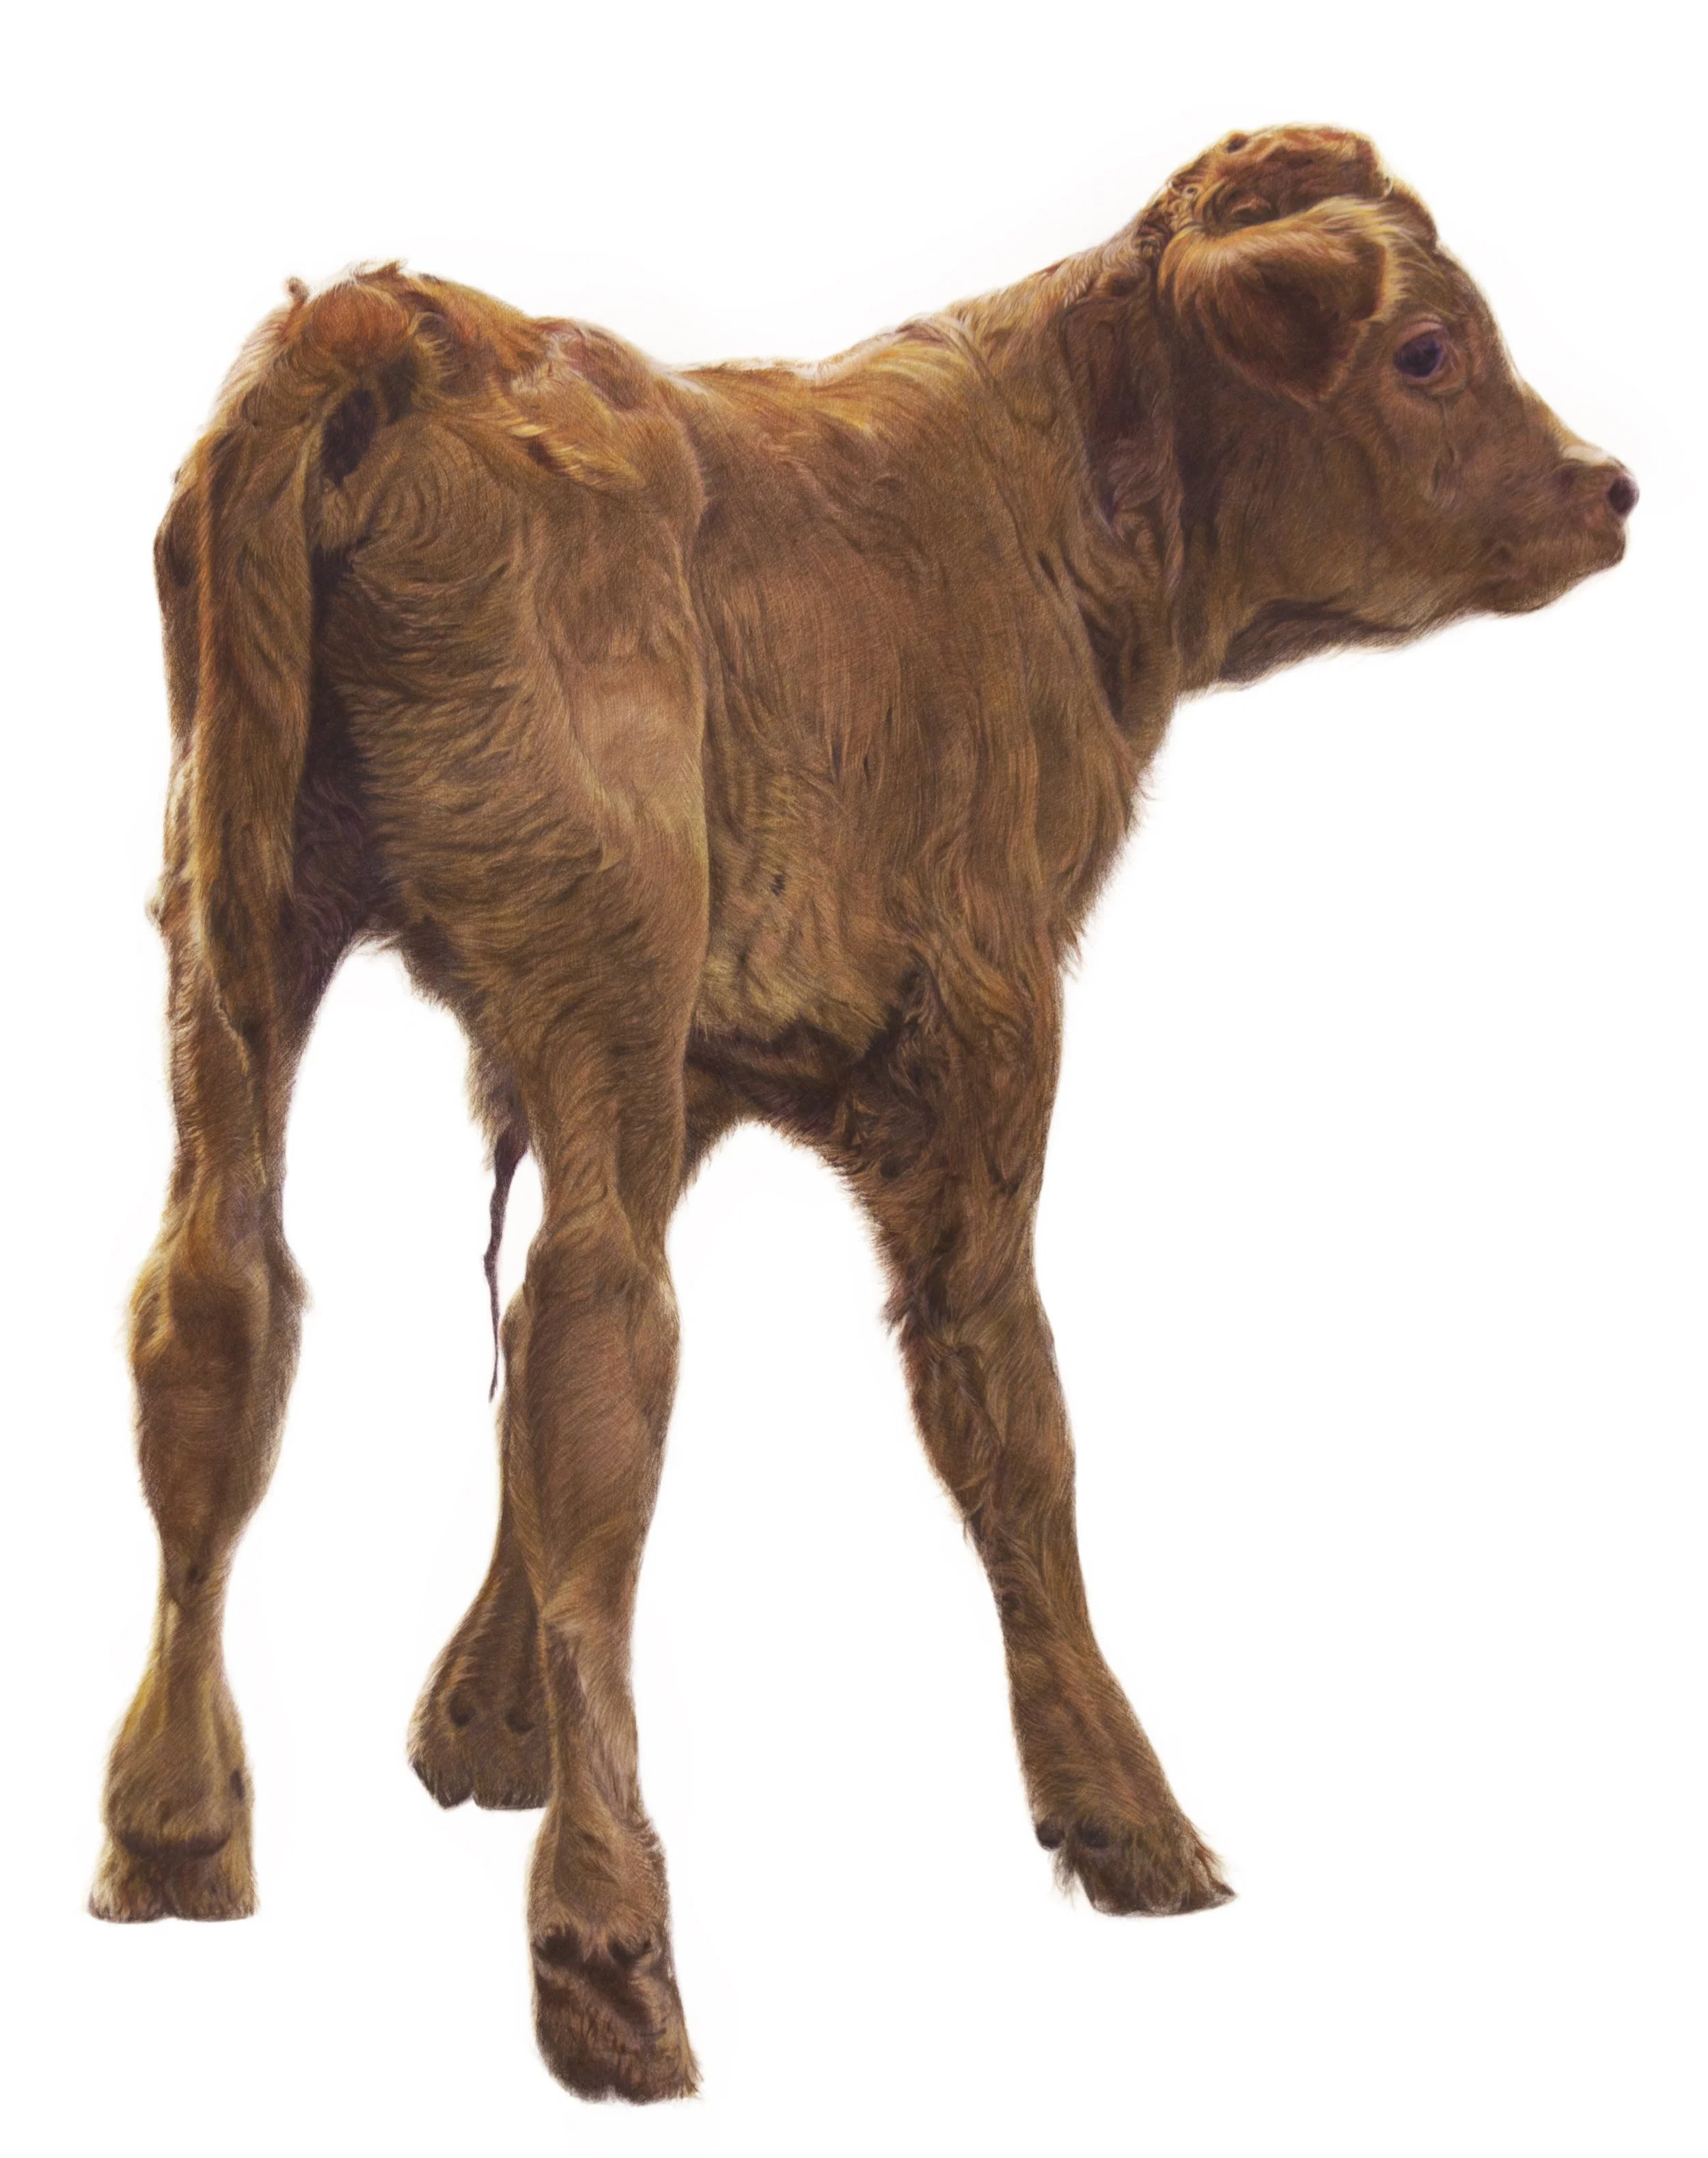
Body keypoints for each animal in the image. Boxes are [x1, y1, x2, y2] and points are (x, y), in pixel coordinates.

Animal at [90, 125, 1635, 2101]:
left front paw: (480, 1722)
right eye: (1426, 350)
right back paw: (610, 1951)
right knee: (596, 1338)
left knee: (222, 1304)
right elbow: (1007, 1410)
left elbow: (528, 1456)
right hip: (587, 960)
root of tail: (405, 318)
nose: (1606, 488)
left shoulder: (683, 1069)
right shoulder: (980, 1038)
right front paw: (1126, 1818)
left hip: (243, 936)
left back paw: (172, 1835)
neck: (1046, 505)